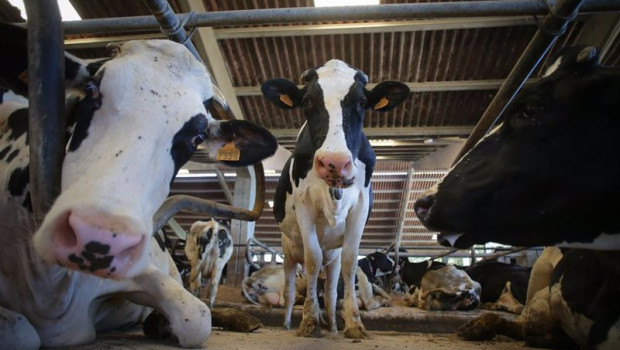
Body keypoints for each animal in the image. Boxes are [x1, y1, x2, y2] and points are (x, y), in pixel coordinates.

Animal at [0, 23, 276, 348]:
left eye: (197, 136)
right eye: (91, 89)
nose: (99, 237)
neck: (52, 284)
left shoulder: (142, 269)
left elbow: (197, 317)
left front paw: (164, 322)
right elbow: (19, 331)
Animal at [262, 58, 412, 338]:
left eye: (362, 102)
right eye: (307, 101)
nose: (335, 163)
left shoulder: (360, 207)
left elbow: (351, 262)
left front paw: (353, 324)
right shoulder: (304, 205)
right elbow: (312, 259)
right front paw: (309, 322)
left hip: (331, 259)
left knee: (331, 291)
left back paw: (332, 326)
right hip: (288, 253)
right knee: (289, 291)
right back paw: (288, 323)